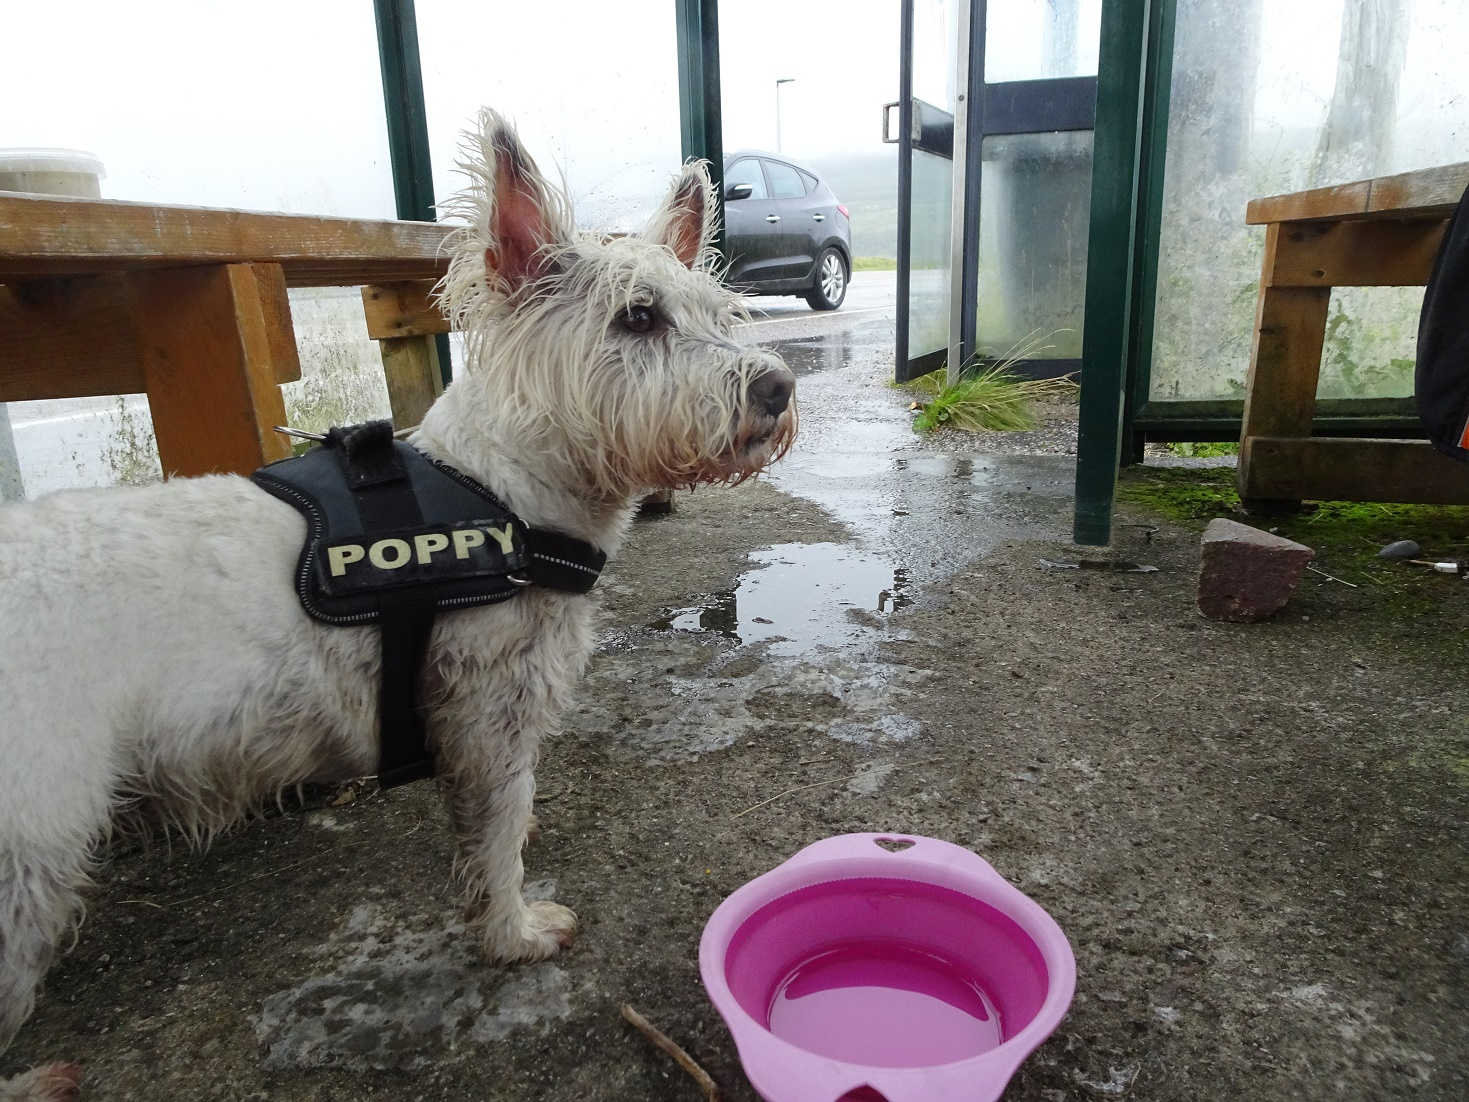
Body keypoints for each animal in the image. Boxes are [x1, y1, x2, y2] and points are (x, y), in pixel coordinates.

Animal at [0, 107, 793, 1099]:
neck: (503, 495)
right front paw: (513, 933)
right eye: (637, 317)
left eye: (722, 315)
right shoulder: (488, 718)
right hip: (27, 852)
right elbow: (497, 837)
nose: (776, 387)